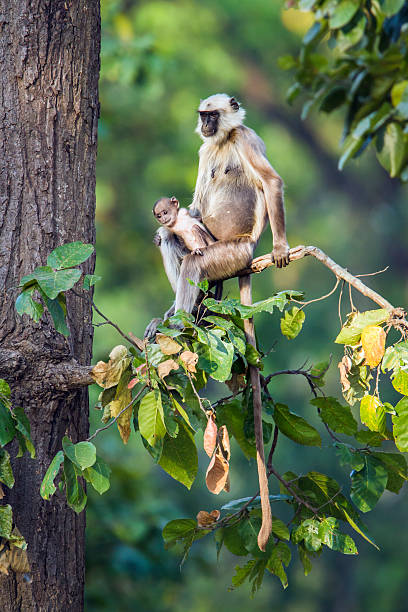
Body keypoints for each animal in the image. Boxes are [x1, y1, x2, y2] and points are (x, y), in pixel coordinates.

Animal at [147, 94, 290, 548]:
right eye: (203, 116)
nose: (207, 126)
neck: (224, 141)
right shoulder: (203, 152)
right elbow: (190, 206)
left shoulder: (245, 137)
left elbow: (271, 181)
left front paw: (281, 247)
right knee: (173, 242)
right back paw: (184, 315)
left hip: (230, 255)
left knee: (196, 261)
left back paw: (181, 322)